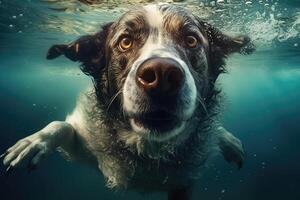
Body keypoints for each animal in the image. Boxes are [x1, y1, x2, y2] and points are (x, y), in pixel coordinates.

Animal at [0, 4, 254, 200]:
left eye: (191, 40)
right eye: (125, 42)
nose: (162, 74)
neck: (148, 151)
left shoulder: (183, 183)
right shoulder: (84, 146)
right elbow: (61, 126)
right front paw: (34, 142)